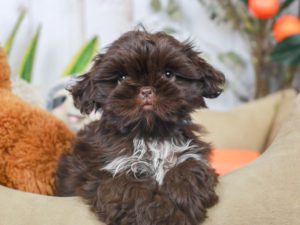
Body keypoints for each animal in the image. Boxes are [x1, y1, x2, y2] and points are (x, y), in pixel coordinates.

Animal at [55, 30, 225, 225]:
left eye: (168, 74)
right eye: (122, 78)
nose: (146, 90)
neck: (150, 134)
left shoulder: (191, 154)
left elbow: (189, 170)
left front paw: (183, 199)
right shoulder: (110, 171)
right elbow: (129, 189)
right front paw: (158, 214)